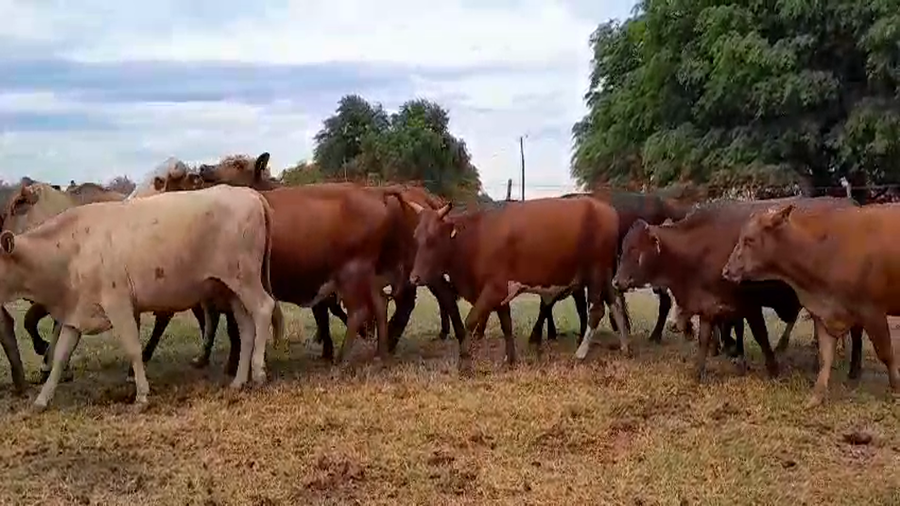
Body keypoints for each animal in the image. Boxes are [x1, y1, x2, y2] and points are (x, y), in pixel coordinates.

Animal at [0, 184, 281, 411]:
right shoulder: (75, 313)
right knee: (246, 328)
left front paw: (142, 395)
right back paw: (239, 380)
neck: (72, 249)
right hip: (230, 289)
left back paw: (258, 371)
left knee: (264, 308)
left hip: (244, 278)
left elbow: (134, 349)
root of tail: (249, 193)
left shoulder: (119, 304)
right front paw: (41, 400)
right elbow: (60, 357)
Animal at [402, 196, 630, 371]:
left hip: (596, 274)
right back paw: (625, 345)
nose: (414, 278)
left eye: (432, 240)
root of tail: (606, 209)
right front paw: (510, 359)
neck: (477, 236)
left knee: (597, 311)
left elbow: (470, 322)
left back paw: (581, 352)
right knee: (615, 305)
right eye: (416, 237)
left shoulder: (493, 289)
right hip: (604, 276)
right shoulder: (501, 292)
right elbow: (507, 324)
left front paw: (465, 362)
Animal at [613, 196, 862, 382]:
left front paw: (772, 368)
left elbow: (760, 335)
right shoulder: (708, 305)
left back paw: (854, 369)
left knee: (857, 330)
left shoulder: (749, 304)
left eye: (635, 250)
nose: (616, 281)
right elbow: (704, 339)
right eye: (623, 248)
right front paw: (699, 371)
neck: (700, 248)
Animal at [722, 202, 900, 407]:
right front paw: (816, 397)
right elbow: (825, 357)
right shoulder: (824, 314)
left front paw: (896, 387)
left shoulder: (872, 311)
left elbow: (886, 353)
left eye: (749, 239)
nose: (726, 271)